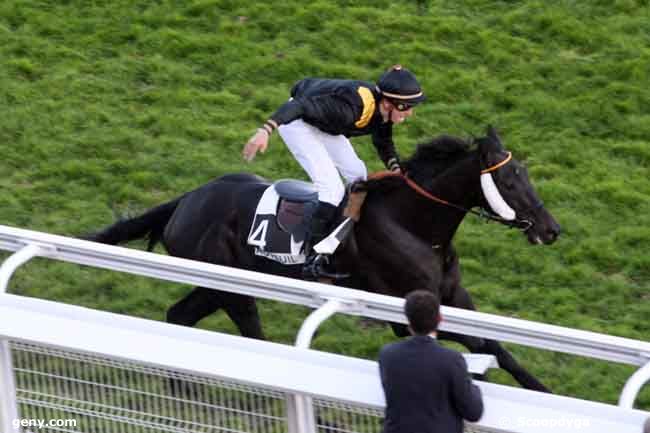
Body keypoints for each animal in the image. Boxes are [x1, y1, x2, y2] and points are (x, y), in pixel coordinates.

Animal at [88, 125, 560, 392]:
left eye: (525, 175)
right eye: (509, 181)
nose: (551, 229)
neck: (415, 226)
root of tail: (187, 199)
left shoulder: (456, 299)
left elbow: (497, 347)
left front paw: (540, 390)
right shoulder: (403, 312)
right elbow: (480, 347)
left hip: (215, 284)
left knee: (179, 316)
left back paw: (180, 388)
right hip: (228, 283)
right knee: (248, 328)